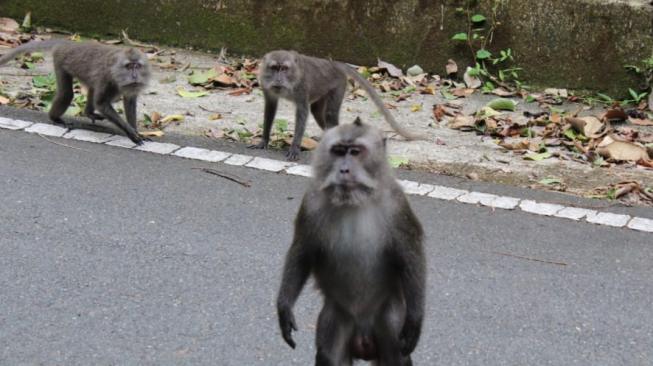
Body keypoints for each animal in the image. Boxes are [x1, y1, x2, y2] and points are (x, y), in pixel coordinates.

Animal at [0, 39, 150, 144]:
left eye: (137, 66)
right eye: (129, 66)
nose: (134, 76)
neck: (116, 71)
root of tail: (69, 44)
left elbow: (130, 102)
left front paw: (135, 130)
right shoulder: (106, 78)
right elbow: (101, 103)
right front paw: (130, 132)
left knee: (90, 88)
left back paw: (88, 112)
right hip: (60, 60)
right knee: (66, 94)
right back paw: (55, 118)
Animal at [252, 49, 426, 161]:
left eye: (284, 69)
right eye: (274, 68)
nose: (278, 80)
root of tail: (334, 64)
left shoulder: (301, 86)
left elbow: (302, 112)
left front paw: (294, 147)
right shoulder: (266, 85)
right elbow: (270, 109)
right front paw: (264, 140)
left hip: (339, 85)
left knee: (330, 115)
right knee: (317, 111)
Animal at [274, 118, 422, 366]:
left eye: (355, 152)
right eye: (338, 151)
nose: (343, 169)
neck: (353, 201)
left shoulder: (397, 204)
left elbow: (411, 254)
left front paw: (416, 321)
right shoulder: (311, 203)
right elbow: (302, 252)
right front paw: (284, 309)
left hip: (388, 317)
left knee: (396, 356)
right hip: (336, 315)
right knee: (329, 354)